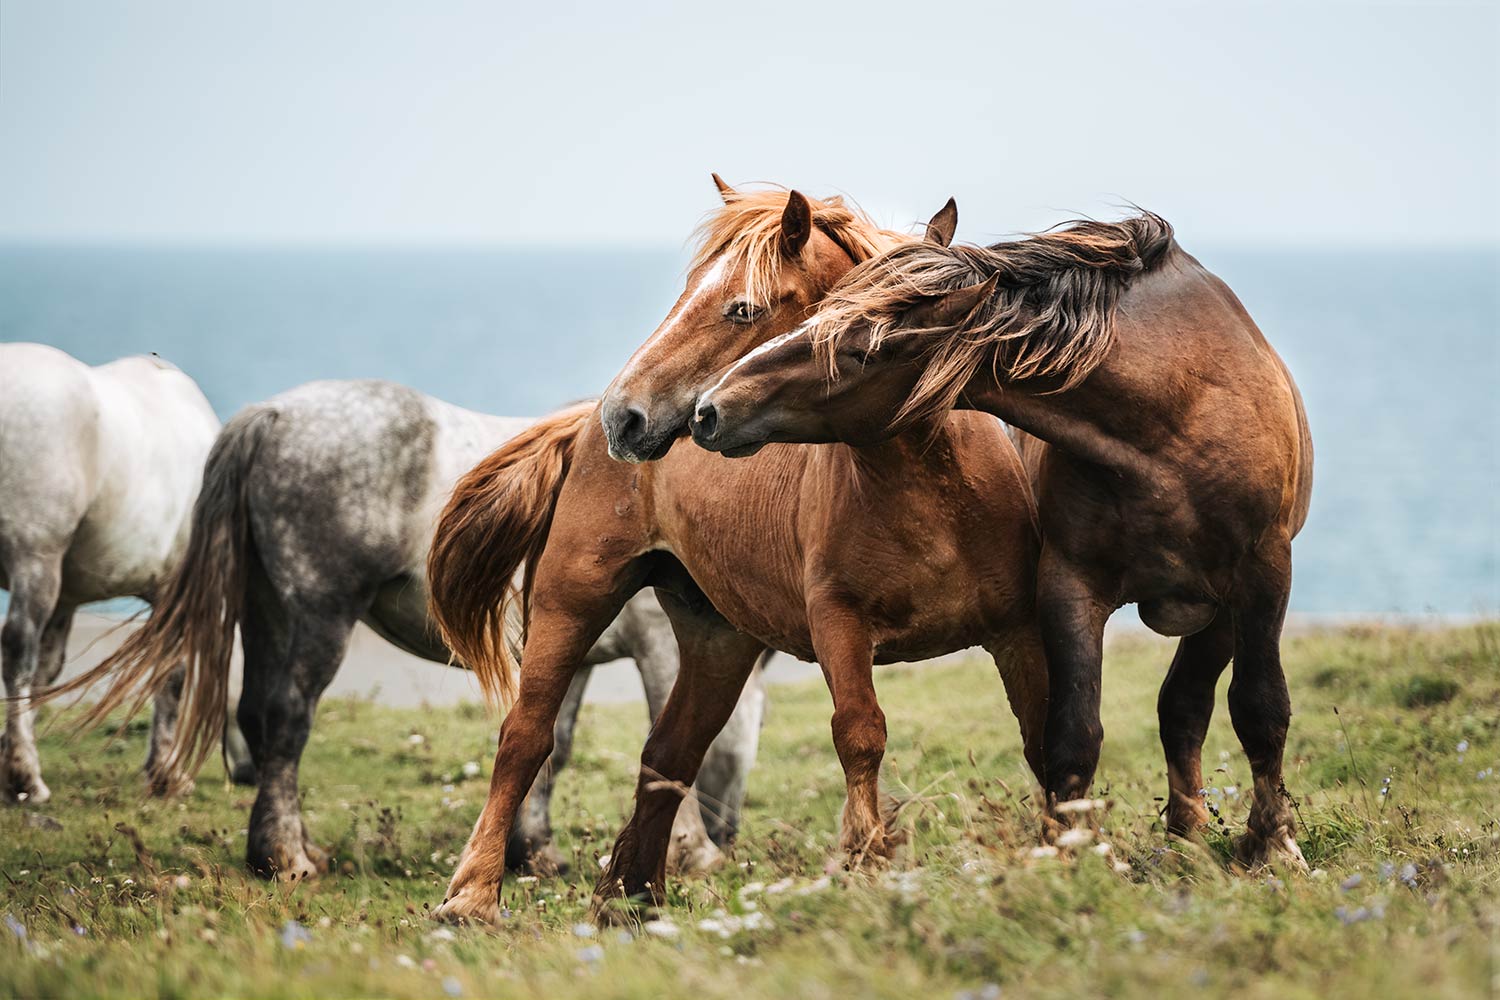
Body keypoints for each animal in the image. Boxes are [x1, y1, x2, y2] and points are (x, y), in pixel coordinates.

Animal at [0, 342, 235, 803]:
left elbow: (47, 671)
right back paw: (27, 779)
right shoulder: (171, 595)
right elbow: (172, 674)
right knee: (17, 649)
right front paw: (166, 773)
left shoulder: (66, 596)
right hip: (33, 560)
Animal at [51, 378, 767, 879]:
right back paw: (286, 858)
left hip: (267, 613)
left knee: (256, 717)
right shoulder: (660, 644)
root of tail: (271, 416)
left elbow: (552, 744)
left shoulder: (573, 649)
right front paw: (691, 852)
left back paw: (282, 848)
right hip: (318, 618)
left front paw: (533, 851)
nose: (731, 830)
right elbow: (666, 740)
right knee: (284, 721)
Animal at [424, 179, 1048, 924]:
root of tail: (580, 424)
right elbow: (860, 735)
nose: (628, 416)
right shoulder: (839, 626)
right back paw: (472, 896)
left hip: (717, 640)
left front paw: (1066, 843)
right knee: (526, 736)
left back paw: (631, 896)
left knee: (669, 753)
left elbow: (1046, 731)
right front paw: (867, 869)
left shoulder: (1018, 630)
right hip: (572, 599)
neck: (929, 485)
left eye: (742, 307)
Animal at [688, 203, 1314, 868]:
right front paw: (1068, 852)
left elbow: (1260, 709)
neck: (1174, 413)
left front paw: (1276, 843)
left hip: (1222, 609)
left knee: (1189, 705)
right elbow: (1072, 731)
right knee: (1180, 706)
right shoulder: (1070, 584)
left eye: (860, 351)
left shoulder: (1262, 575)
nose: (710, 408)